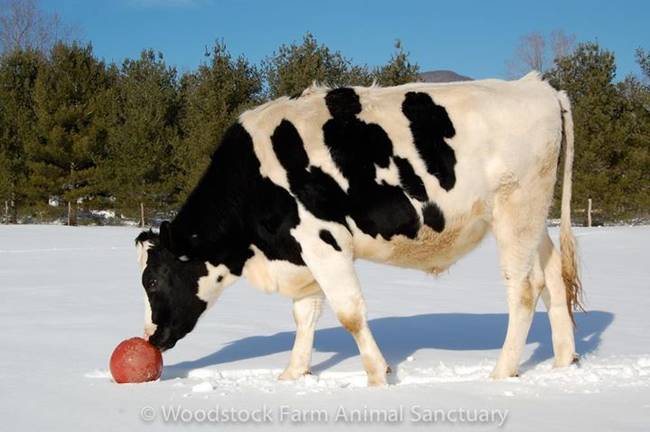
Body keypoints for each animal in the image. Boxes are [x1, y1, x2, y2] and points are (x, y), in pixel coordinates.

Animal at [134, 72, 580, 386]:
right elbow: (304, 315)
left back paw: (502, 372)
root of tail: (537, 86)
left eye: (152, 281)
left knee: (523, 288)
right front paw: (292, 375)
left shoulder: (322, 240)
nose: (150, 339)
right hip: (534, 217)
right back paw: (562, 363)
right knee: (553, 277)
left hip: (515, 209)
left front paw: (378, 374)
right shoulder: (300, 253)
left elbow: (348, 313)